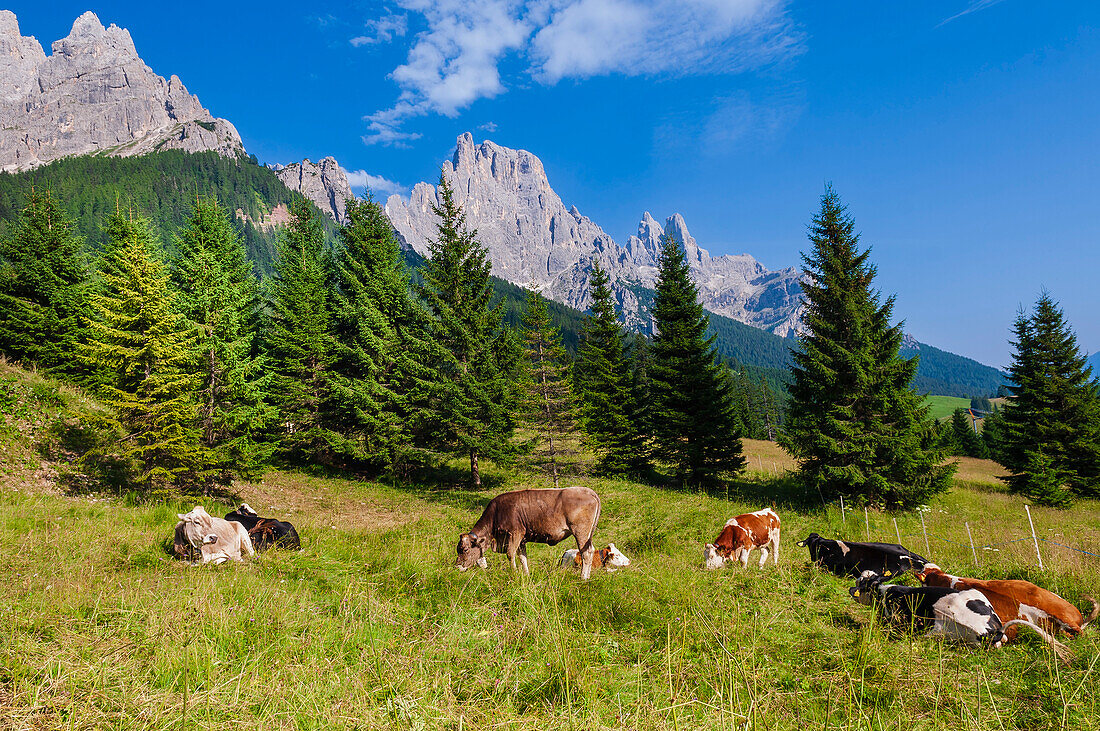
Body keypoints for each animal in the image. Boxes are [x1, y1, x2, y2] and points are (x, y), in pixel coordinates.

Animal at [455, 488, 602, 580]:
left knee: (586, 553)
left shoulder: (515, 533)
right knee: (590, 551)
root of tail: (587, 490)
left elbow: (510, 554)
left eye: (465, 549)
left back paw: (583, 577)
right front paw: (526, 575)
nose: (457, 566)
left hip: (581, 532)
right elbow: (522, 557)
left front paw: (514, 573)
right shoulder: (522, 540)